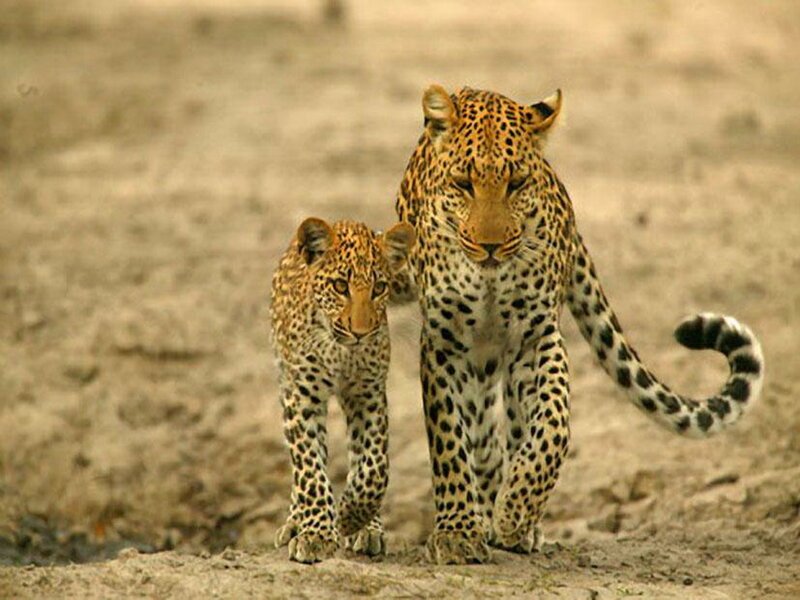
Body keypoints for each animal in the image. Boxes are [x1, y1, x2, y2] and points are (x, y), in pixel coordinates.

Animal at [270, 217, 414, 563]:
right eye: (339, 286)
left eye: (379, 288)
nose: (360, 332)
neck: (340, 350)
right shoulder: (301, 397)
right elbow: (309, 468)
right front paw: (316, 534)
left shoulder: (368, 395)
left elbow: (374, 466)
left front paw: (351, 516)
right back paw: (296, 522)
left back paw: (367, 529)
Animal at [392, 85, 765, 564]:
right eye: (463, 184)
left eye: (516, 184)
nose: (491, 247)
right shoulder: (445, 343)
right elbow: (449, 443)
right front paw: (458, 532)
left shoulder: (536, 338)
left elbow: (553, 426)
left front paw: (515, 513)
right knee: (482, 435)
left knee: (509, 430)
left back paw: (514, 521)